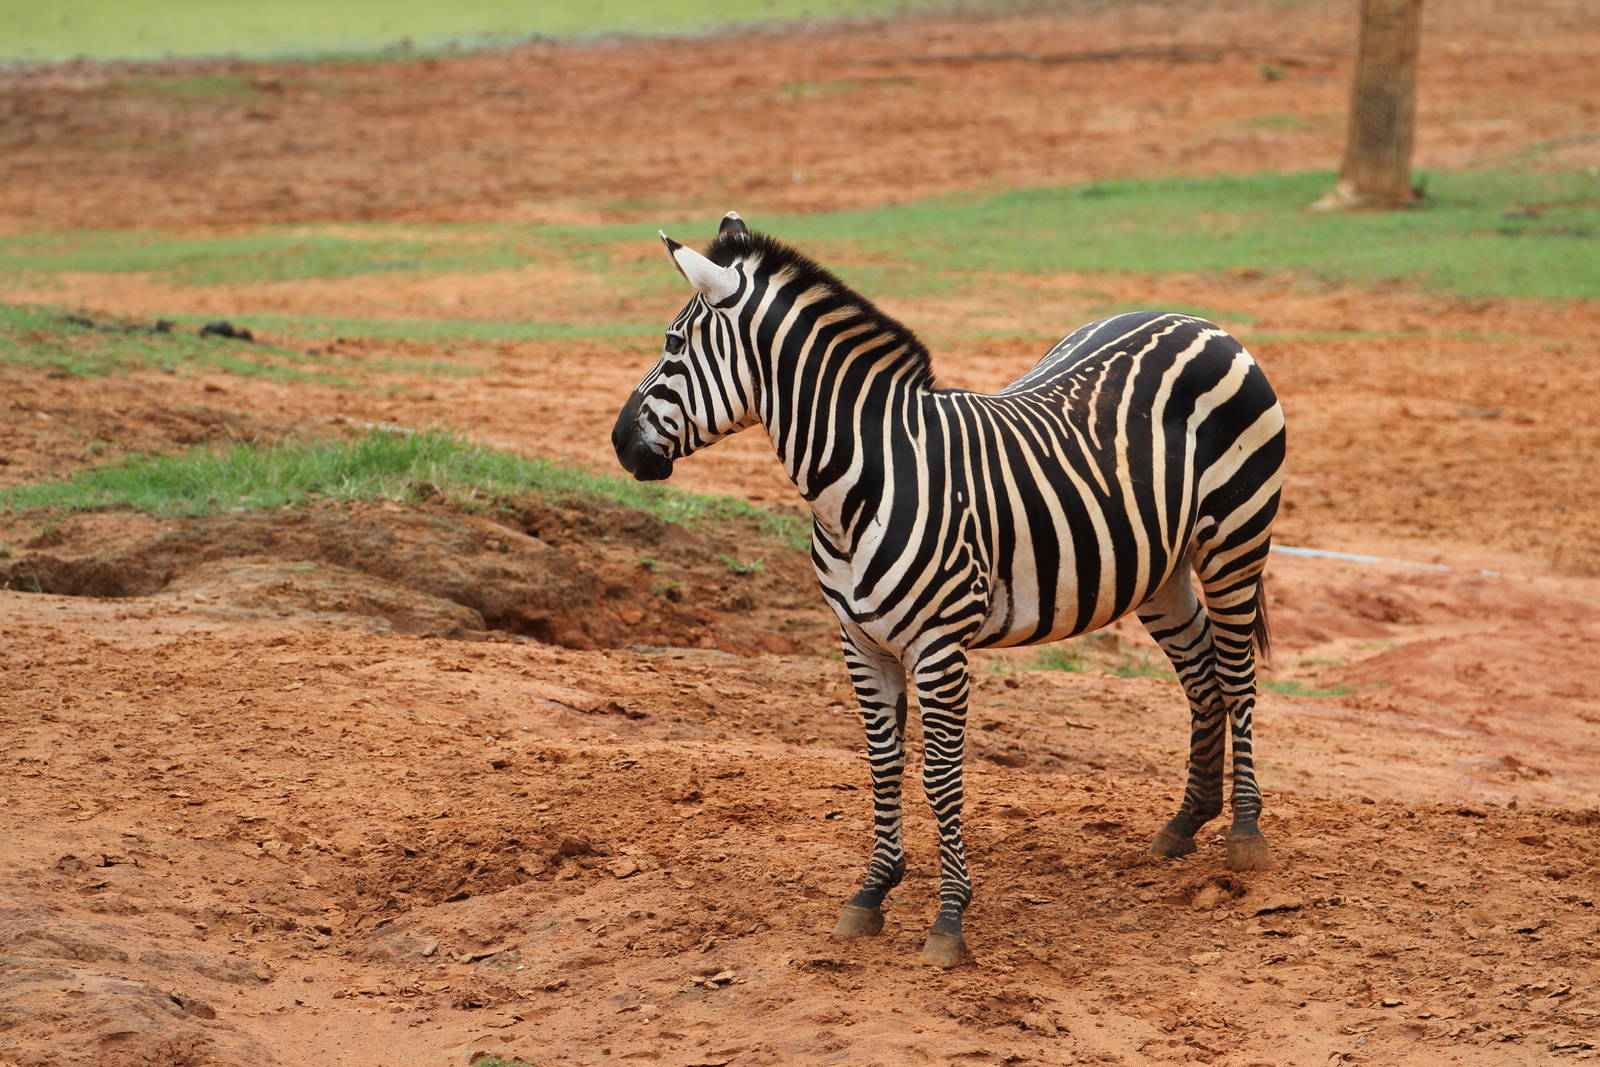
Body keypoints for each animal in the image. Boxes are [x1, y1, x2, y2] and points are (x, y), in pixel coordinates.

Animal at [612, 212, 1286, 967]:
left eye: (672, 346)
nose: (617, 443)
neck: (861, 483)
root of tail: (1200, 321)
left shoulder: (939, 648)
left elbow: (940, 776)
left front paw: (949, 917)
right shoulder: (860, 642)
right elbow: (882, 764)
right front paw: (872, 892)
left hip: (1235, 540)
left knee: (1237, 676)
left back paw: (1246, 835)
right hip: (1159, 568)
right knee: (1202, 677)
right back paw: (1186, 822)